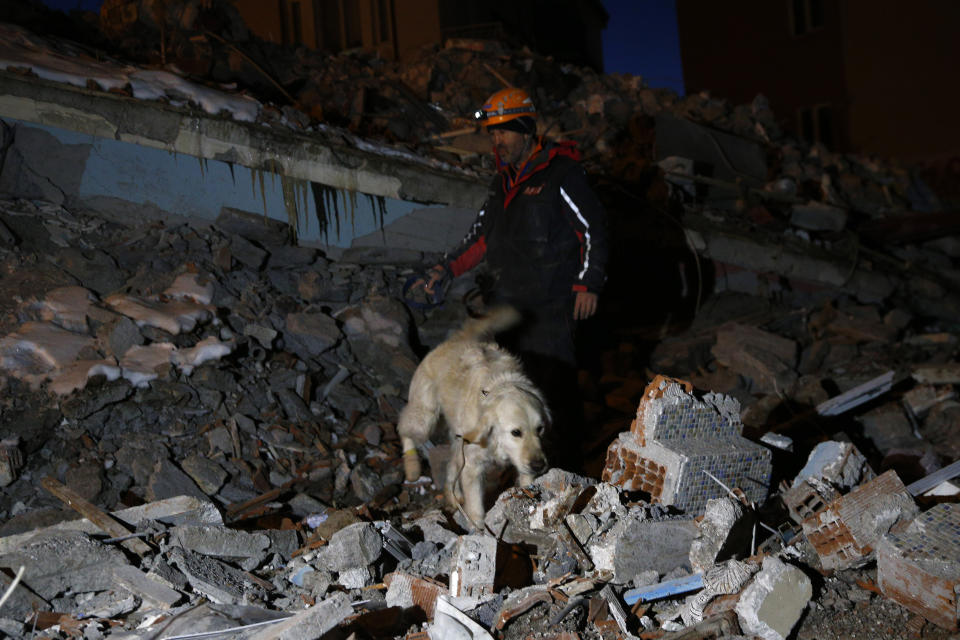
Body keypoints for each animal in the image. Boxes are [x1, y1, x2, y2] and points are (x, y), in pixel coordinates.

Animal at [398, 308, 548, 528]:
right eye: (515, 432)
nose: (539, 466)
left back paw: (452, 496)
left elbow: (526, 480)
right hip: (425, 418)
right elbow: (476, 506)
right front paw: (479, 530)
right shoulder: (473, 466)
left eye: (540, 429)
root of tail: (456, 339)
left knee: (451, 465)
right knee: (403, 426)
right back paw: (412, 467)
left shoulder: (524, 459)